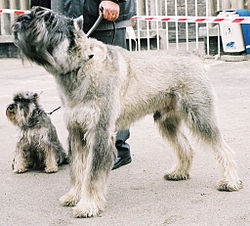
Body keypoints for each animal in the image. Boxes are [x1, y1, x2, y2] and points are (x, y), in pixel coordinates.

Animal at [12, 7, 242, 218]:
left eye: (49, 19)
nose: (21, 20)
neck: (81, 65)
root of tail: (193, 54)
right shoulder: (76, 132)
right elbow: (78, 169)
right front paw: (73, 196)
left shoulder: (100, 132)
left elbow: (92, 174)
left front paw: (88, 205)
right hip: (167, 121)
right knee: (185, 146)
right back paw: (179, 172)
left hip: (200, 115)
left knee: (223, 148)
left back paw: (230, 181)